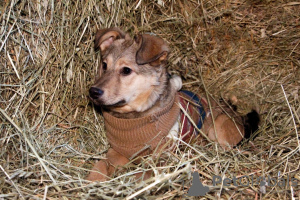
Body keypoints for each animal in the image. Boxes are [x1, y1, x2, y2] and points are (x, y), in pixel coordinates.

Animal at [85, 27, 258, 182]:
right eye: (104, 65)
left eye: (126, 70)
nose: (93, 91)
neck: (133, 118)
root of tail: (238, 115)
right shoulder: (116, 150)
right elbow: (101, 164)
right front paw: (93, 181)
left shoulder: (161, 154)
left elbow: (143, 174)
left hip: (219, 127)